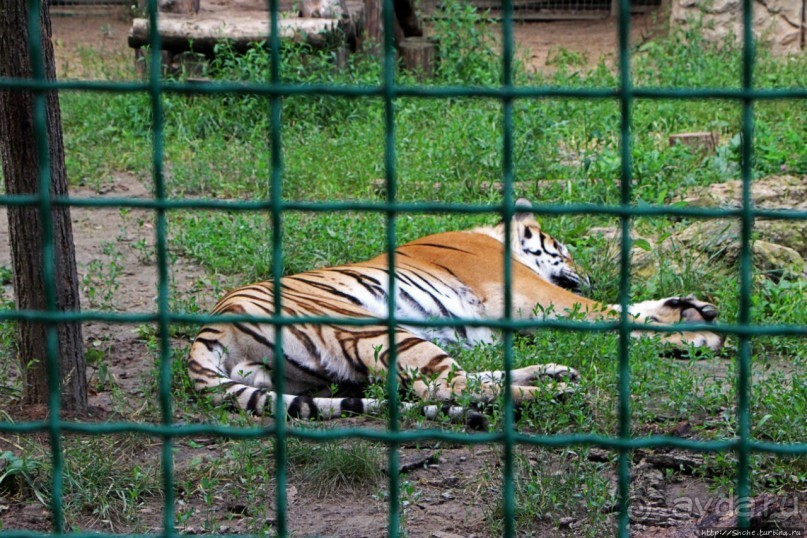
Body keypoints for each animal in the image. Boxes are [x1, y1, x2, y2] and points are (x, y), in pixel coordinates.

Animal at [189, 197, 724, 422]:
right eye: (567, 252)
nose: (587, 271)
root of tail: (208, 331)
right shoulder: (536, 297)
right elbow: (607, 312)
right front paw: (700, 334)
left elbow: (623, 306)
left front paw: (693, 308)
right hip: (371, 328)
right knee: (444, 385)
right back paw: (551, 393)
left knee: (451, 382)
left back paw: (552, 375)